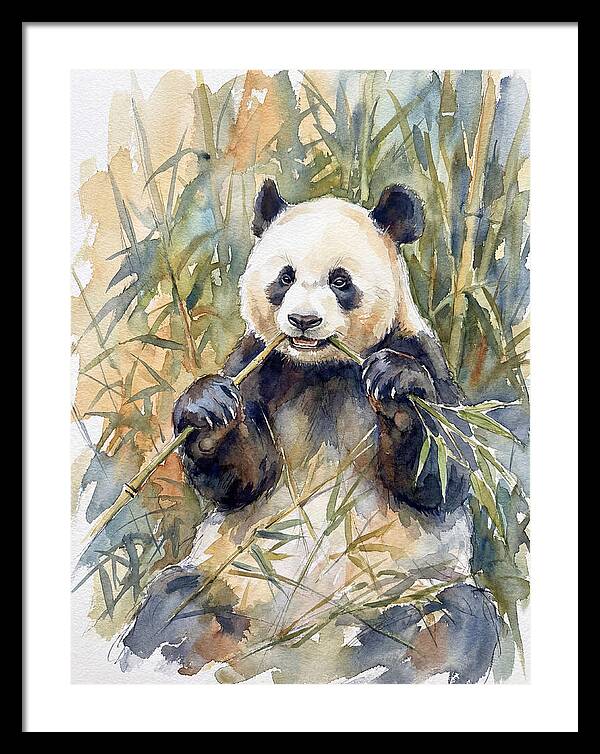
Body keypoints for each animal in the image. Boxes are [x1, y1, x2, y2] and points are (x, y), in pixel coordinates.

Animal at [120, 181, 502, 684]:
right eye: (285, 278)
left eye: (340, 281)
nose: (303, 321)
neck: (323, 370)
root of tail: (300, 646)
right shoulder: (259, 363)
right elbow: (244, 480)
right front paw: (207, 409)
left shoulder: (420, 351)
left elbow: (443, 474)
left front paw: (397, 388)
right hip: (231, 582)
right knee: (171, 608)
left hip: (403, 592)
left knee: (455, 622)